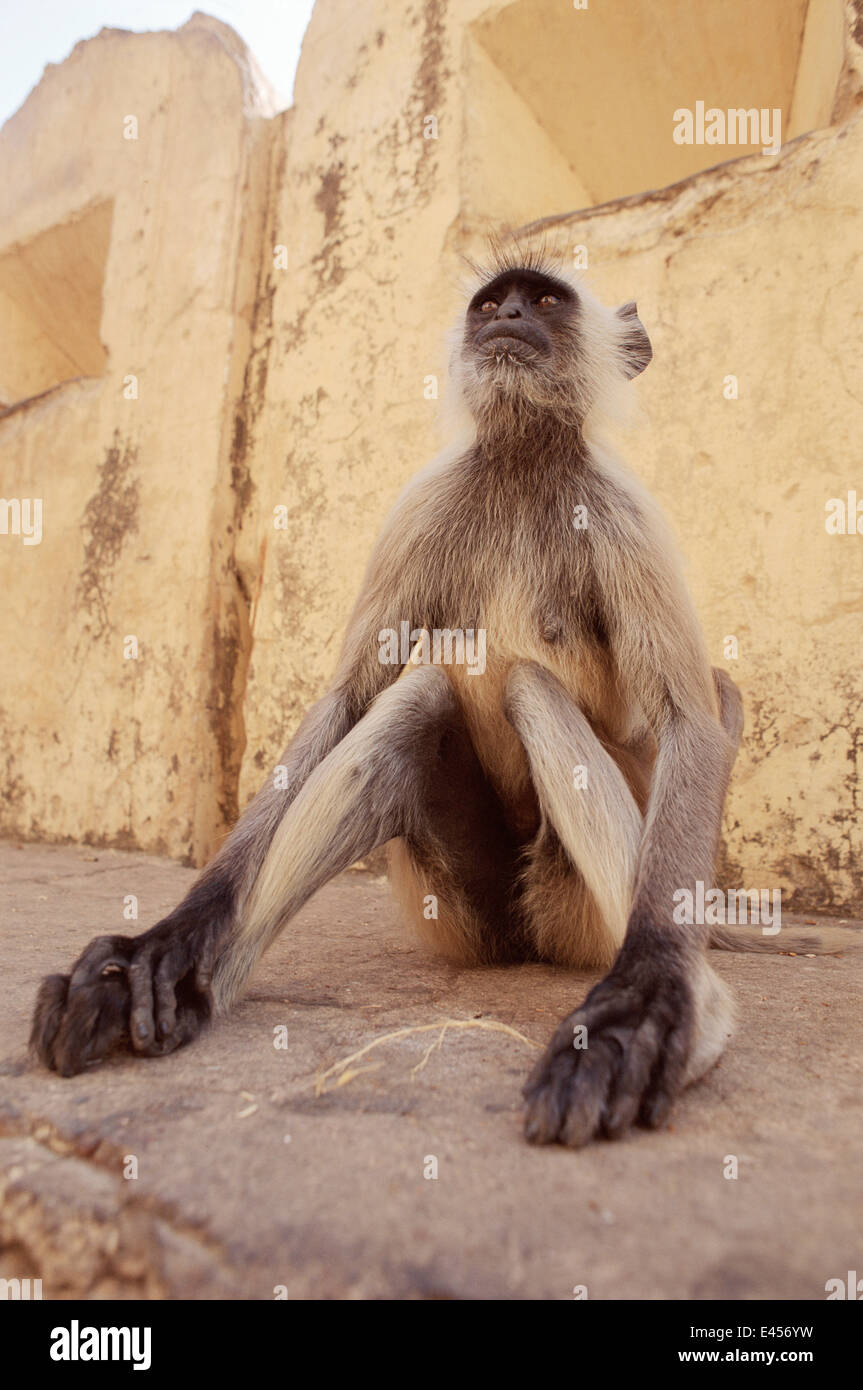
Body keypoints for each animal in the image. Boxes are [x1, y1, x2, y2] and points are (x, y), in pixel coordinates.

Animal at [31, 250, 744, 1150]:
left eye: (545, 300)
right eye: (492, 304)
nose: (510, 317)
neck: (521, 457)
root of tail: (518, 937)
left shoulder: (623, 515)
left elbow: (689, 724)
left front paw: (648, 996)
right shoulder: (421, 503)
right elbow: (348, 699)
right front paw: (172, 937)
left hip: (572, 914)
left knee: (530, 687)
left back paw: (693, 1012)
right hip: (459, 910)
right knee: (415, 702)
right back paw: (189, 984)